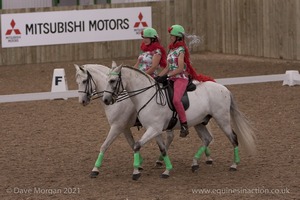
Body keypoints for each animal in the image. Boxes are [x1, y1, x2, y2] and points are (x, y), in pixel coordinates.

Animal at [74, 62, 213, 178]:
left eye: (85, 81)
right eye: (77, 81)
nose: (82, 101)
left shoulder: (117, 126)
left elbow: (105, 146)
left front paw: (95, 170)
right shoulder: (124, 128)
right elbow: (132, 144)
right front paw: (139, 164)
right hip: (196, 121)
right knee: (204, 137)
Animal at [102, 63, 255, 180]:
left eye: (112, 81)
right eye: (107, 79)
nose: (106, 100)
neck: (146, 96)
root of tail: (224, 88)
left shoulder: (153, 129)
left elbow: (136, 146)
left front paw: (136, 172)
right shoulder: (154, 130)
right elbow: (163, 149)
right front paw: (167, 170)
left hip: (222, 119)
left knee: (233, 138)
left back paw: (234, 165)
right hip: (199, 122)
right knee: (207, 138)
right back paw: (194, 163)